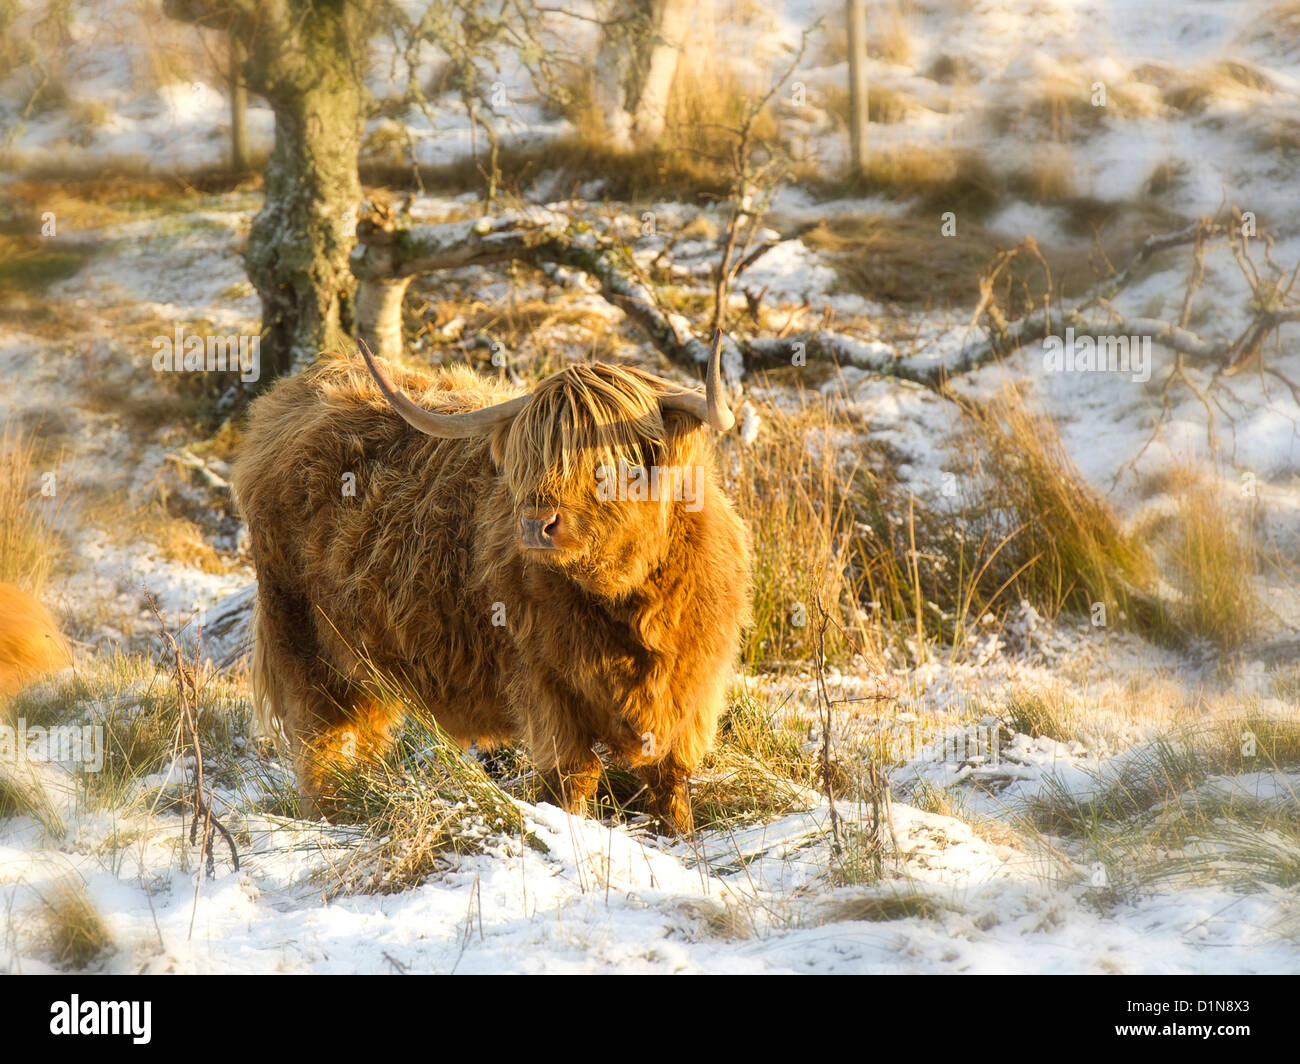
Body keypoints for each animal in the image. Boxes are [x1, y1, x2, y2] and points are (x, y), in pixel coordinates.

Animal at [233, 340, 754, 827]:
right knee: (321, 748)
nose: (537, 524)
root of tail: (300, 388)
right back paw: (332, 820)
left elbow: (670, 783)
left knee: (359, 743)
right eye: (530, 459)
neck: (631, 602)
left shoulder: (690, 693)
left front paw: (681, 838)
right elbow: (571, 780)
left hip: (365, 670)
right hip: (304, 648)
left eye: (608, 461)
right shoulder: (546, 689)